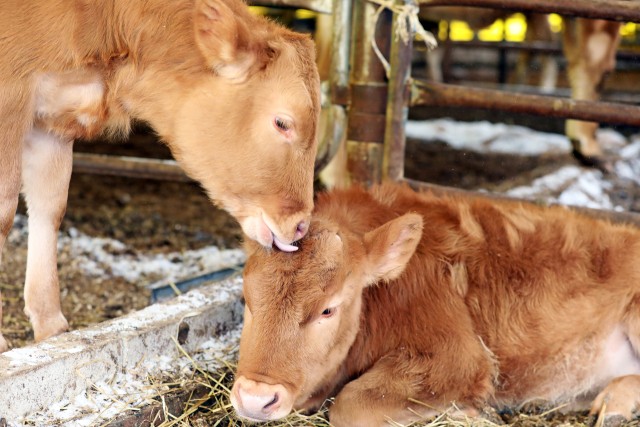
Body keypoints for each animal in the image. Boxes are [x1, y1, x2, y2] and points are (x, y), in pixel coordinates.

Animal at [0, 0, 320, 352]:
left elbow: (50, 207)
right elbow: (4, 212)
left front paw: (51, 325)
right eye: (282, 122)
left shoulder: (53, 118)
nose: (301, 225)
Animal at [230, 184, 640, 427]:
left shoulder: (459, 357)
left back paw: (614, 405)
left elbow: (351, 406)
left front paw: (469, 412)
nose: (255, 399)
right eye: (246, 300)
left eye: (329, 309)